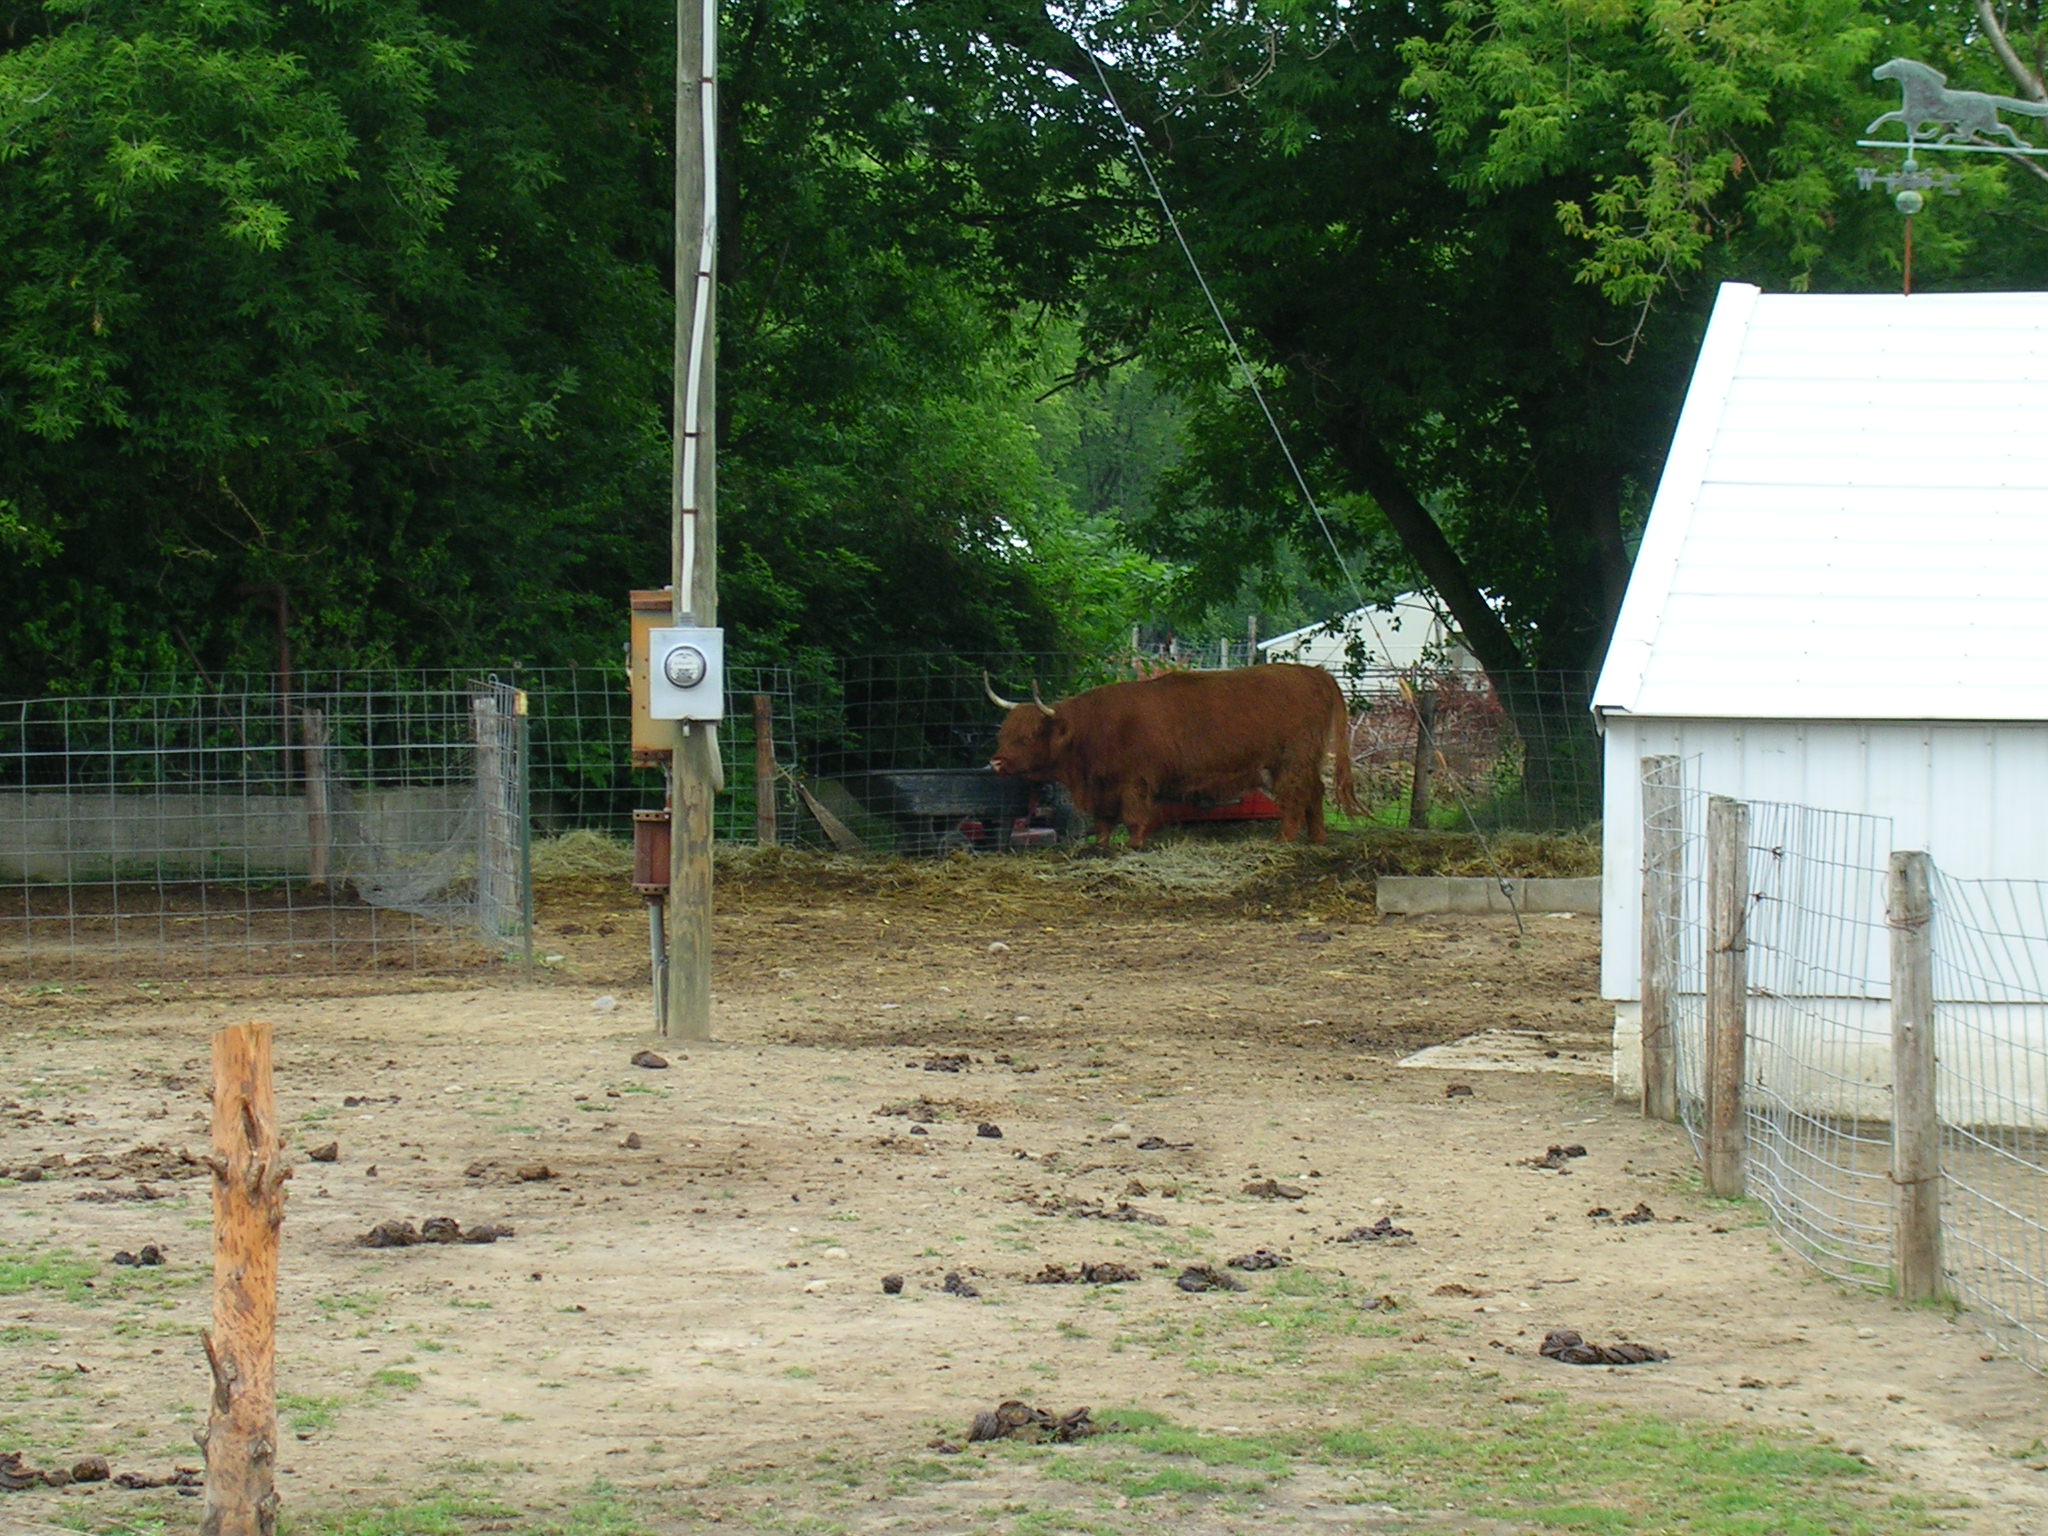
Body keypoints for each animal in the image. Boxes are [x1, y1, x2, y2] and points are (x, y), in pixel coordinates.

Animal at [987, 663, 1359, 856]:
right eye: (1003, 733)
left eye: (1027, 737)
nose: (996, 763)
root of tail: (1314, 672)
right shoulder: (1105, 786)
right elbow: (1104, 820)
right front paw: (1101, 846)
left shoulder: (1134, 781)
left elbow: (1133, 816)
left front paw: (1134, 844)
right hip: (1303, 761)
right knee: (1315, 793)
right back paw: (1317, 838)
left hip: (1290, 760)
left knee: (1296, 797)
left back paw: (1285, 839)